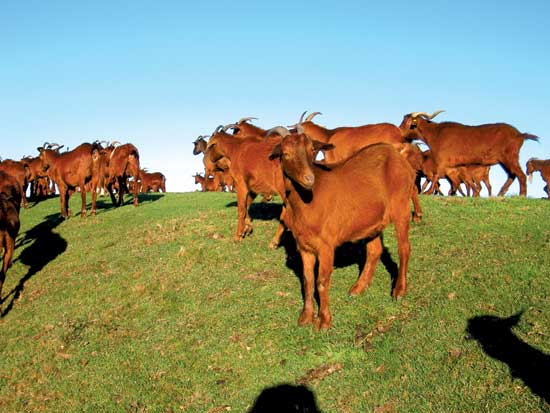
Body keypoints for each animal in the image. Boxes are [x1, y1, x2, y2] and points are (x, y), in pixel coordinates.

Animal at [270, 130, 416, 330]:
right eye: (285, 153)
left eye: (312, 150)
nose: (309, 179)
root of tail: (397, 154)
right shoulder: (304, 246)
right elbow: (307, 281)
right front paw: (305, 317)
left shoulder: (326, 246)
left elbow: (322, 282)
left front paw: (324, 321)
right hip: (373, 221)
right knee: (375, 250)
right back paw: (358, 288)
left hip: (402, 206)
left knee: (404, 248)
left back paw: (399, 290)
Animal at [398, 110, 540, 196]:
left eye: (407, 122)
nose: (399, 131)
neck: (436, 133)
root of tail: (519, 134)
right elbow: (455, 181)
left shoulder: (442, 160)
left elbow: (436, 176)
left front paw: (428, 192)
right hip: (504, 160)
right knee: (511, 175)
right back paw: (500, 194)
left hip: (510, 157)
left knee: (520, 175)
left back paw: (522, 195)